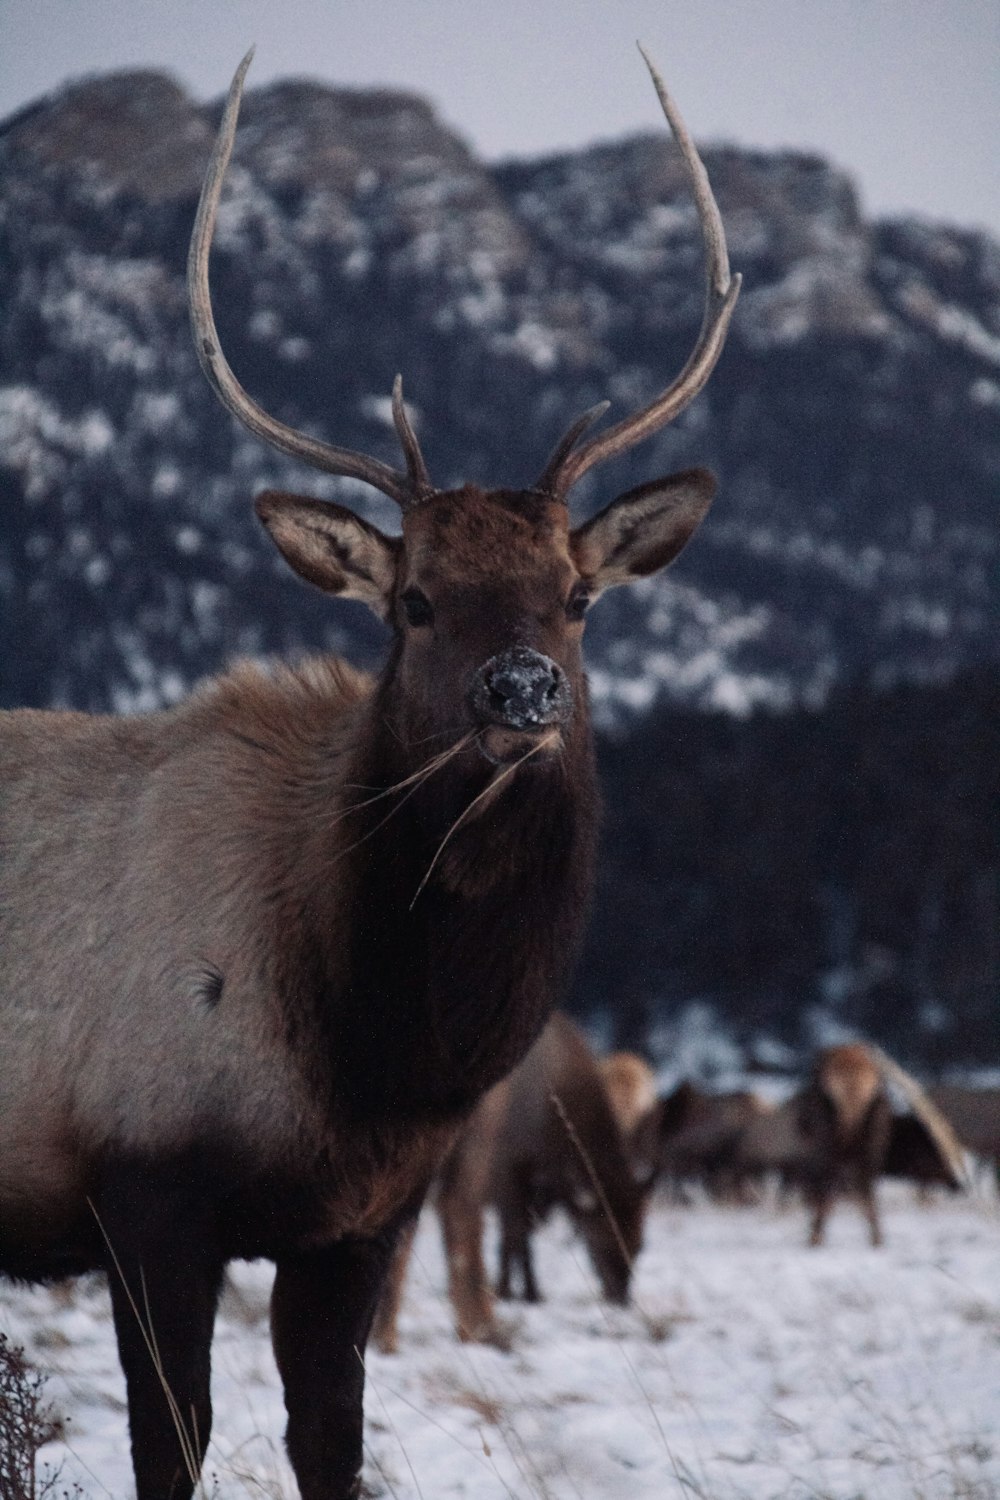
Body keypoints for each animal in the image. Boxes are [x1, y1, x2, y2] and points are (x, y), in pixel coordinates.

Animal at [0, 43, 743, 1500]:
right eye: (411, 600)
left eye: (578, 597)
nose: (521, 690)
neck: (378, 1049)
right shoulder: (146, 1186)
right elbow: (173, 1446)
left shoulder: (361, 1220)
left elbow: (331, 1443)